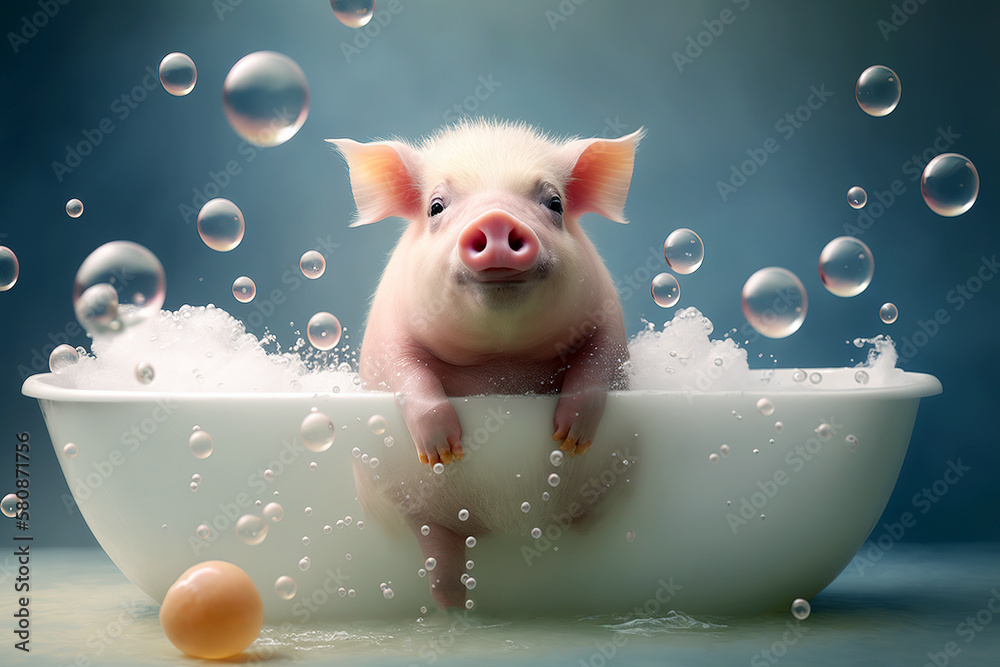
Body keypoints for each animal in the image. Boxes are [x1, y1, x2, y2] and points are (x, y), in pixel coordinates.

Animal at [329, 119, 642, 608]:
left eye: (554, 203)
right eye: (436, 206)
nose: (496, 219)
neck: (501, 361)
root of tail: (504, 524)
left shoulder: (608, 318)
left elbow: (598, 365)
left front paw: (568, 439)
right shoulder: (386, 336)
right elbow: (409, 374)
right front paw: (445, 451)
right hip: (421, 510)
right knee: (440, 561)